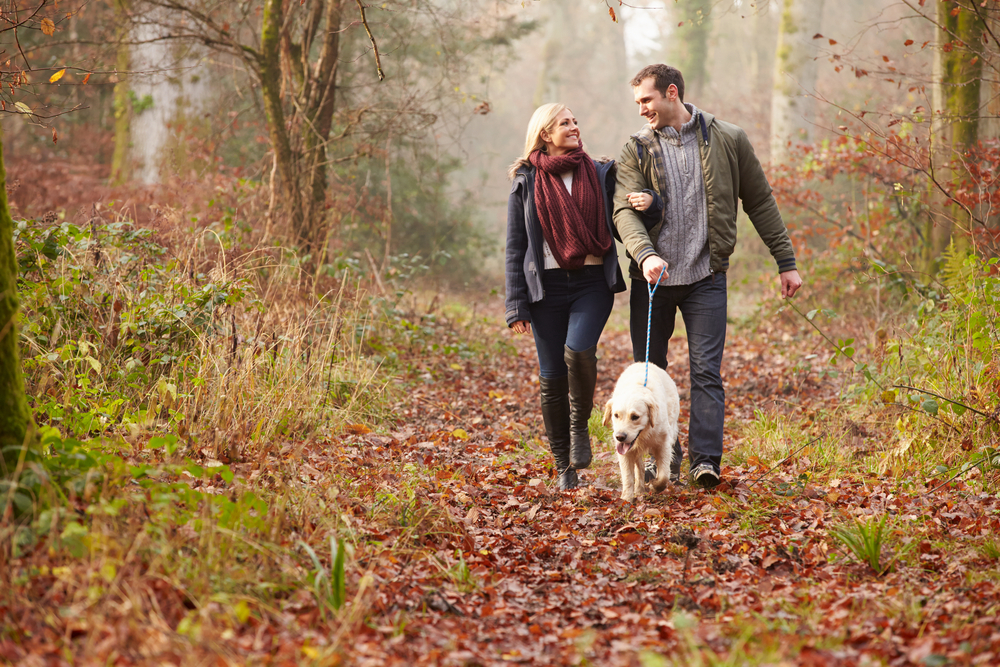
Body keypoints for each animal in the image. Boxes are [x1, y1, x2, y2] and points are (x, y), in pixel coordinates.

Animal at [600, 366, 680, 500]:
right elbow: (628, 476)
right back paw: (639, 489)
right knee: (640, 467)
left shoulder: (664, 444)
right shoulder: (625, 452)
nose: (620, 437)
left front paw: (655, 486)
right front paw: (626, 498)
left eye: (635, 417)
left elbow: (664, 476)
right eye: (616, 415)